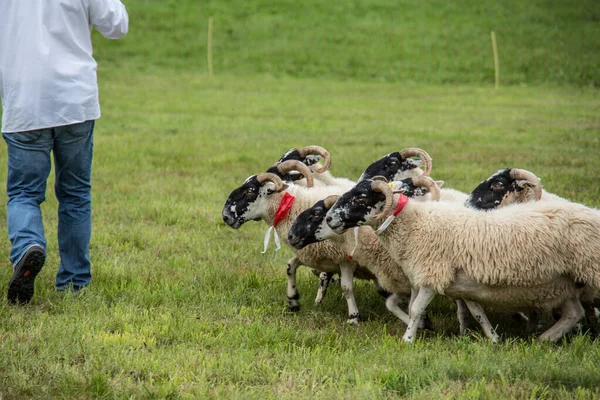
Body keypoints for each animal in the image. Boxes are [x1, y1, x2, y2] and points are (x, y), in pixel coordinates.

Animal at [223, 158, 378, 324]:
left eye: (250, 191)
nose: (225, 216)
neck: (297, 207)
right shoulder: (312, 253)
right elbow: (290, 267)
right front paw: (293, 301)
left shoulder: (345, 259)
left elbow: (346, 287)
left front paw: (354, 317)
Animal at [326, 177, 600, 342]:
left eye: (362, 198)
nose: (328, 219)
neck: (414, 224)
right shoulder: (446, 282)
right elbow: (473, 312)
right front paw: (493, 338)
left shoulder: (431, 275)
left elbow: (415, 309)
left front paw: (408, 340)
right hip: (563, 284)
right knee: (574, 313)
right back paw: (544, 340)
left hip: (589, 273)